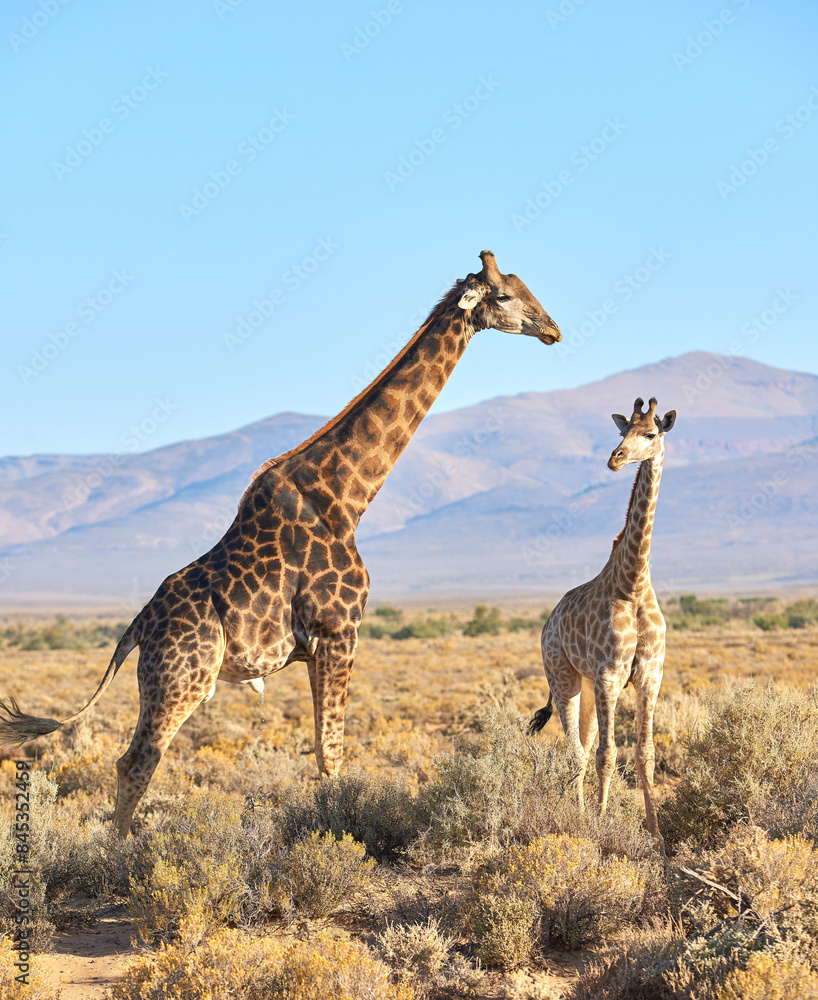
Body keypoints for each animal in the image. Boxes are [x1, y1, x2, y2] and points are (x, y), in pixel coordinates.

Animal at [0, 251, 561, 837]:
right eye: (503, 295)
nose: (553, 329)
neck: (346, 499)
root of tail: (137, 627)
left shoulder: (315, 647)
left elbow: (320, 750)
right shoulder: (339, 631)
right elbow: (331, 752)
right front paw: (340, 831)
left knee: (132, 761)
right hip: (182, 677)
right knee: (137, 761)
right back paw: (121, 853)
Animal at [528, 397, 676, 850]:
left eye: (651, 432)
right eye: (622, 431)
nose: (616, 458)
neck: (634, 582)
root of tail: (549, 623)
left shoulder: (650, 674)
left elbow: (644, 754)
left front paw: (657, 836)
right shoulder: (611, 674)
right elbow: (607, 756)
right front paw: (599, 823)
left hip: (589, 685)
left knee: (584, 742)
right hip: (564, 677)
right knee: (575, 750)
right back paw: (577, 817)